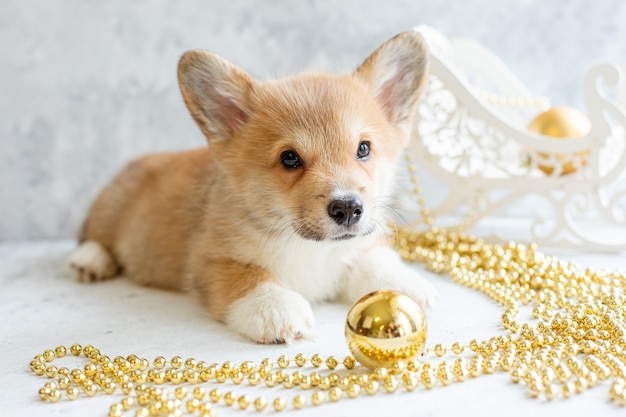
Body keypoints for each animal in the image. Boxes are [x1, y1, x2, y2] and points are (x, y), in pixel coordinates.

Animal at [68, 31, 434, 342]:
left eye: (363, 149)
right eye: (289, 158)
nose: (347, 209)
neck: (309, 247)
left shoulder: (357, 248)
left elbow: (374, 260)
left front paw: (405, 284)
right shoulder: (210, 261)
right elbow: (249, 277)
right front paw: (275, 309)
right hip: (111, 207)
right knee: (93, 234)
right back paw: (89, 261)